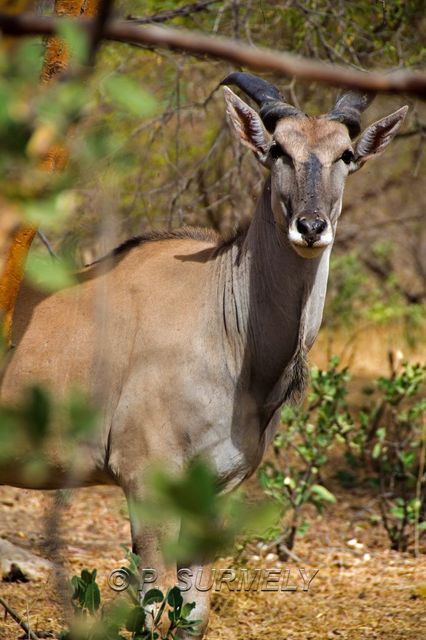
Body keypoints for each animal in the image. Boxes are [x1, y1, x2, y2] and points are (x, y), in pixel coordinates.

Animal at [0, 72, 406, 636]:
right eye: (278, 150)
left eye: (345, 154)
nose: (310, 226)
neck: (229, 332)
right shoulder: (144, 481)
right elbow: (150, 609)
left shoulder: (215, 492)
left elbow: (194, 614)